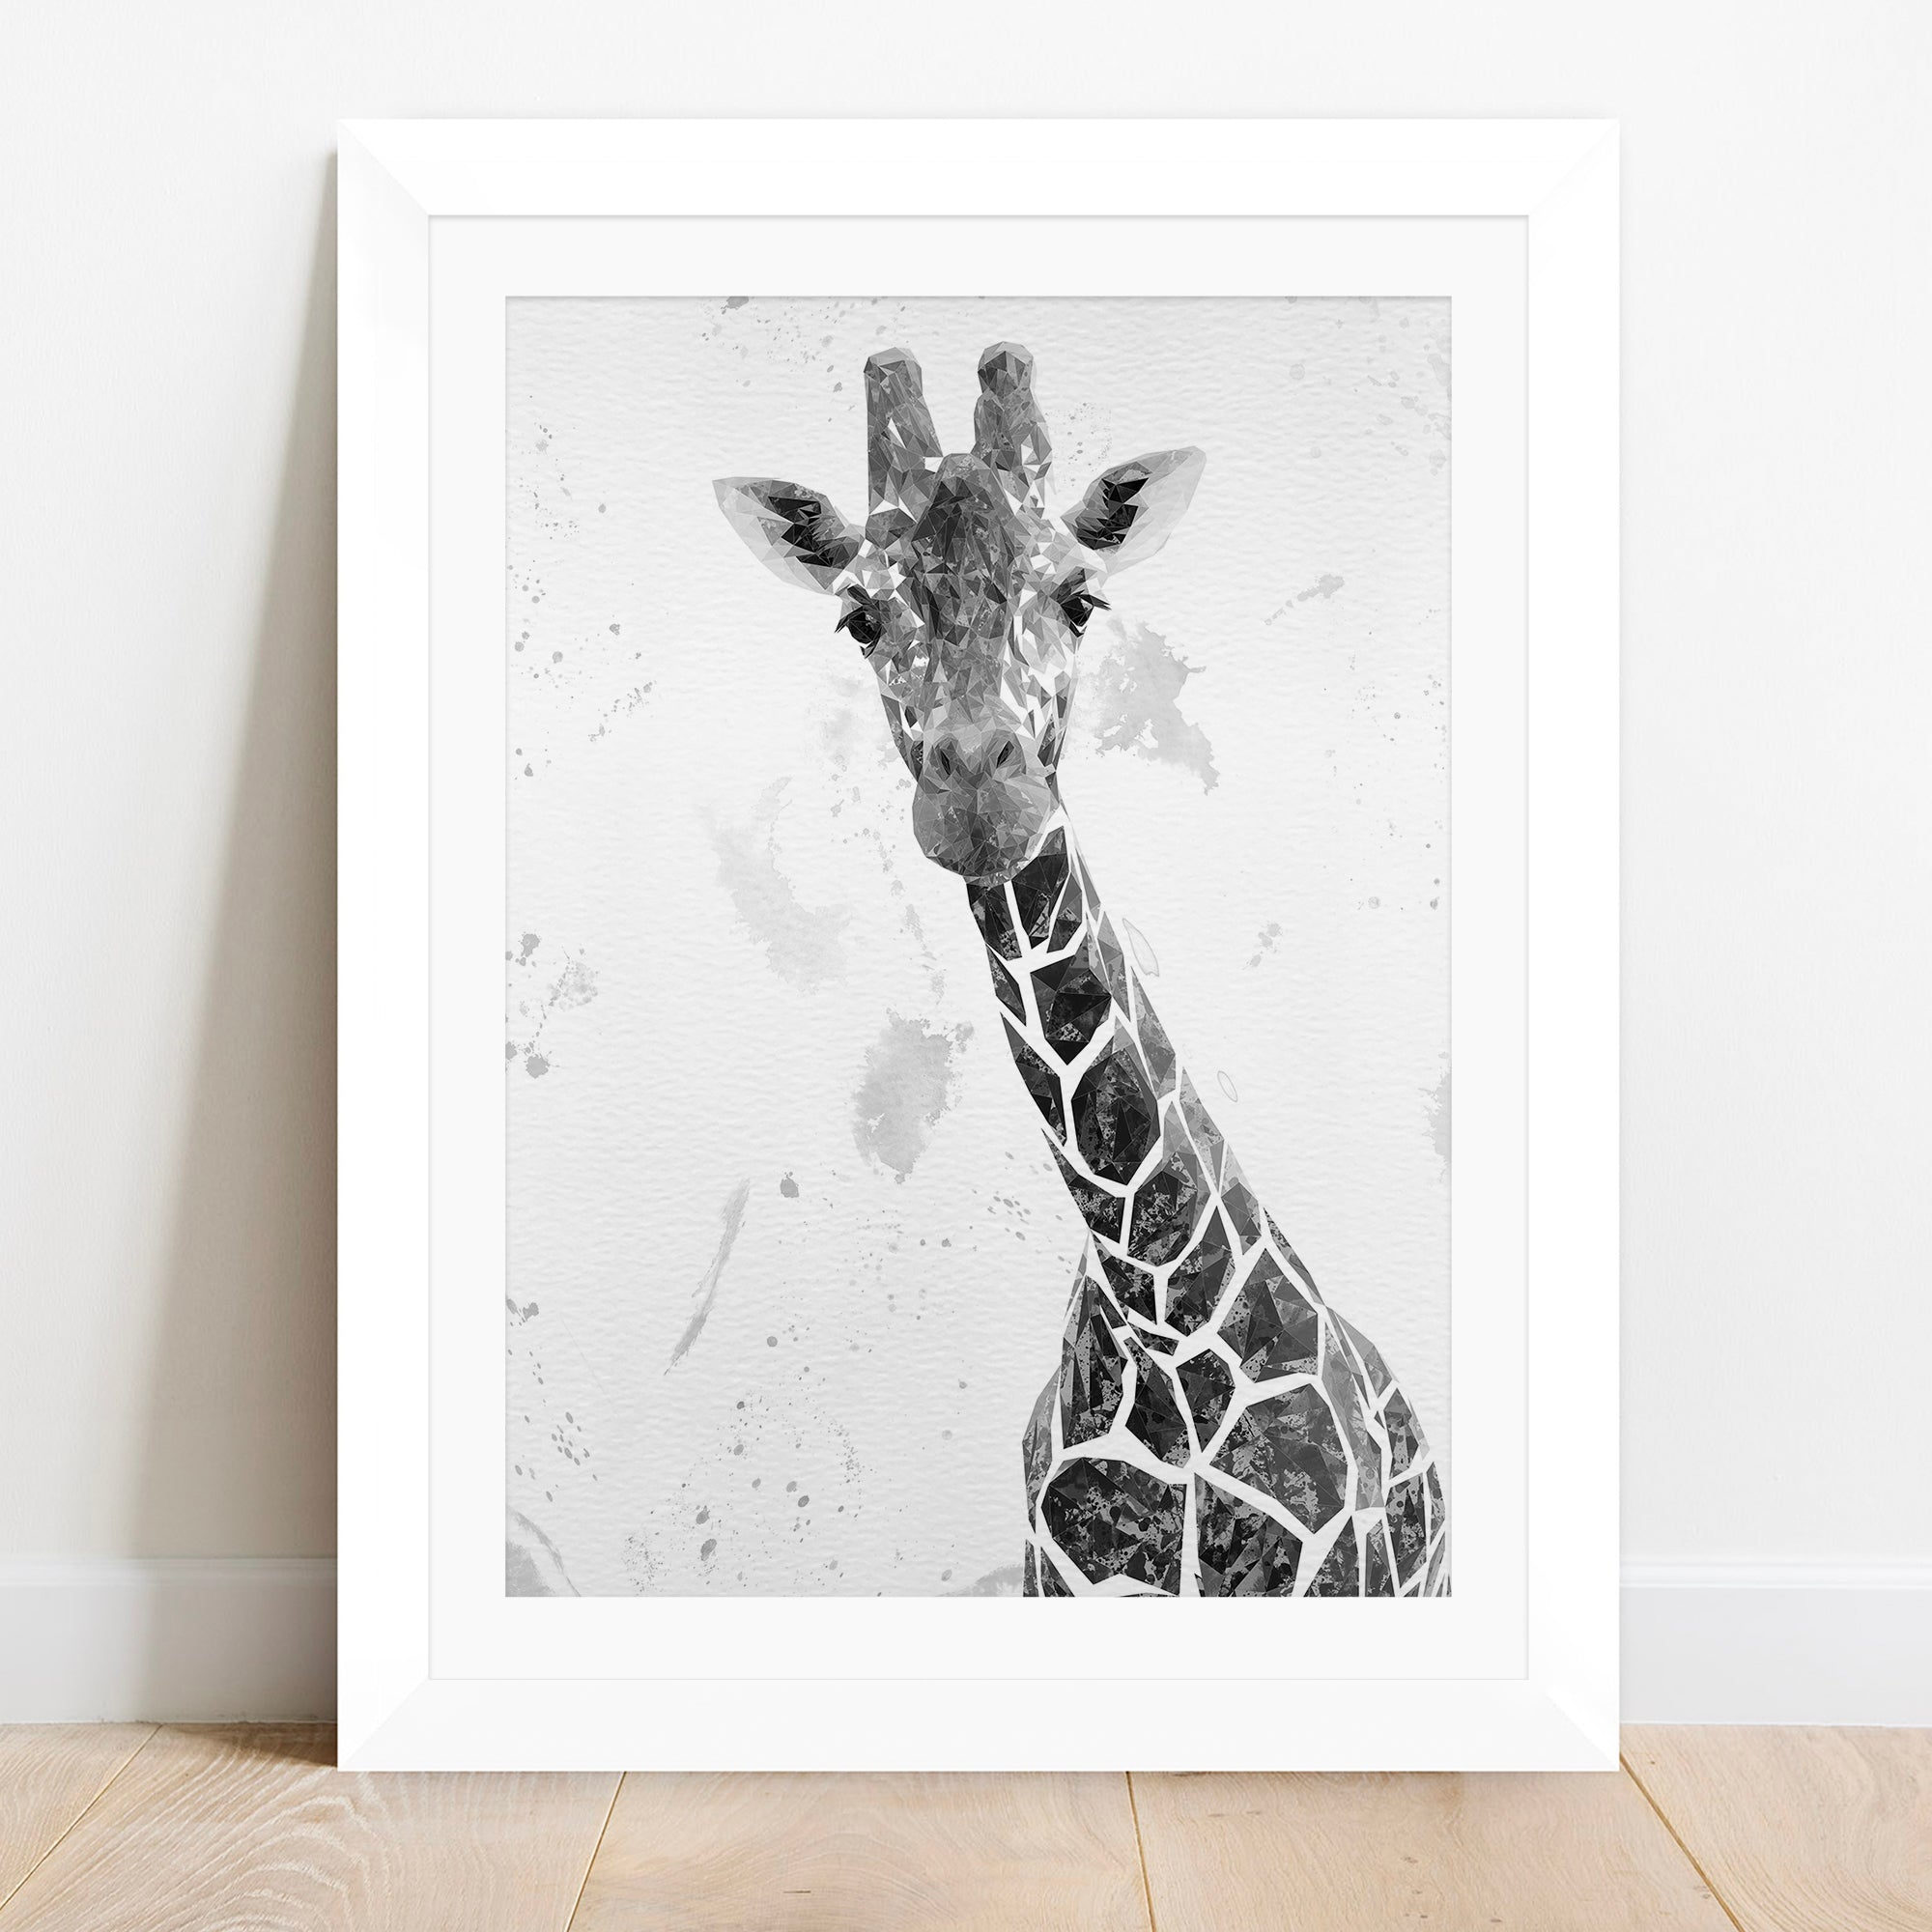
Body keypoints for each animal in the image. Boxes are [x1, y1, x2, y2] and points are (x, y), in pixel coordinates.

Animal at [716, 344, 1449, 1598]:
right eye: (858, 616)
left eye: (1079, 597)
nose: (978, 792)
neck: (1159, 1324)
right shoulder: (1051, 1575)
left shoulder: (1336, 1576)